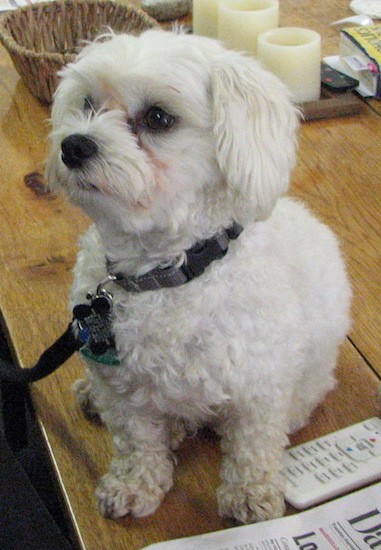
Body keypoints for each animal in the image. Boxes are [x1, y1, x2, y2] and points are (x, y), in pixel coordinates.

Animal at [46, 29, 350, 528]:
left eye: (158, 117)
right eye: (87, 103)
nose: (74, 145)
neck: (166, 275)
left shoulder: (261, 384)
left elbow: (253, 444)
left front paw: (250, 495)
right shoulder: (123, 393)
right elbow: (136, 443)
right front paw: (133, 485)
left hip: (306, 380)